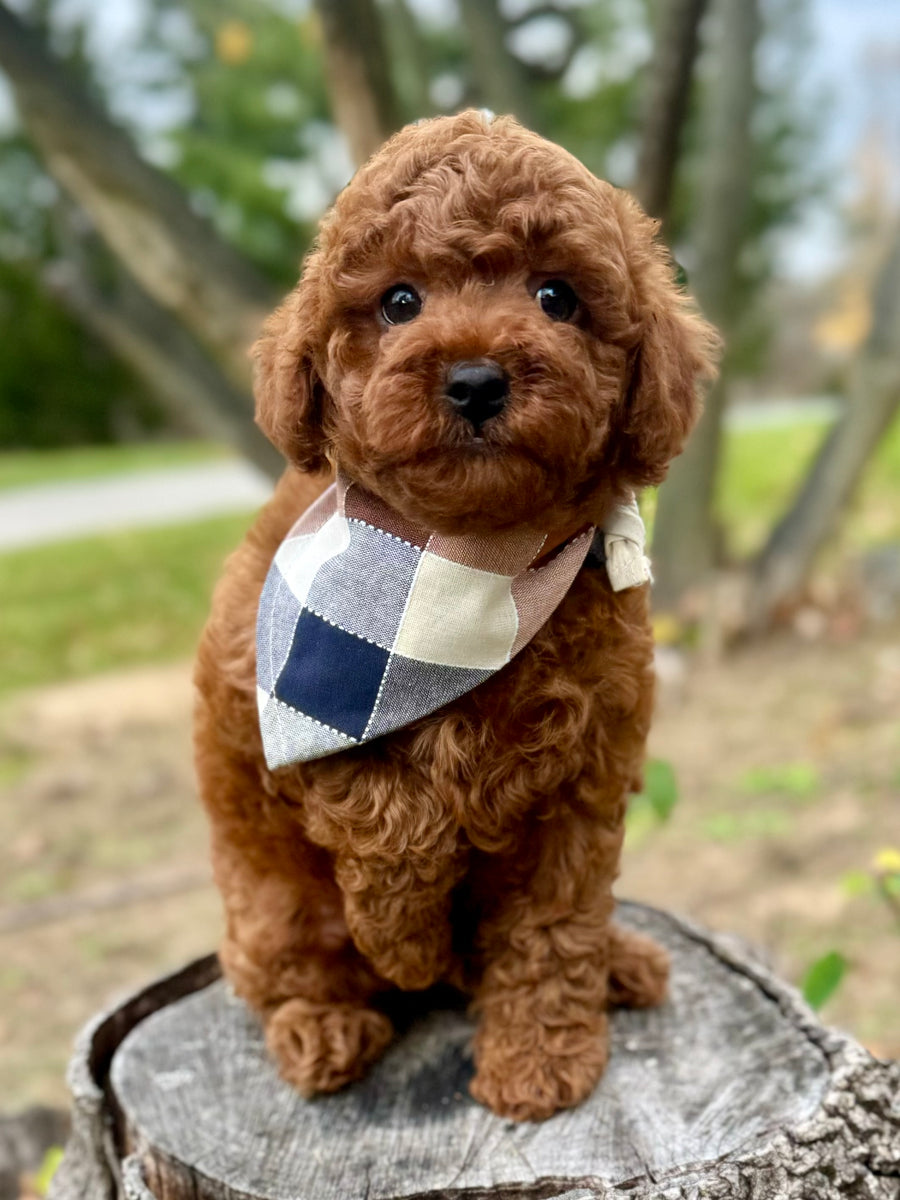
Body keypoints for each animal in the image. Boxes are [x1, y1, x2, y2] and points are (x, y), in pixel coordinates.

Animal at [196, 108, 720, 1118]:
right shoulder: (274, 687)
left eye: (557, 297)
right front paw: (408, 941)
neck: (463, 563)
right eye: (400, 303)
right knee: (288, 973)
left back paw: (612, 965)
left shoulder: (587, 773)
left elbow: (553, 923)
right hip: (268, 910)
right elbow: (386, 810)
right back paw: (328, 1024)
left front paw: (541, 1065)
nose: (476, 379)